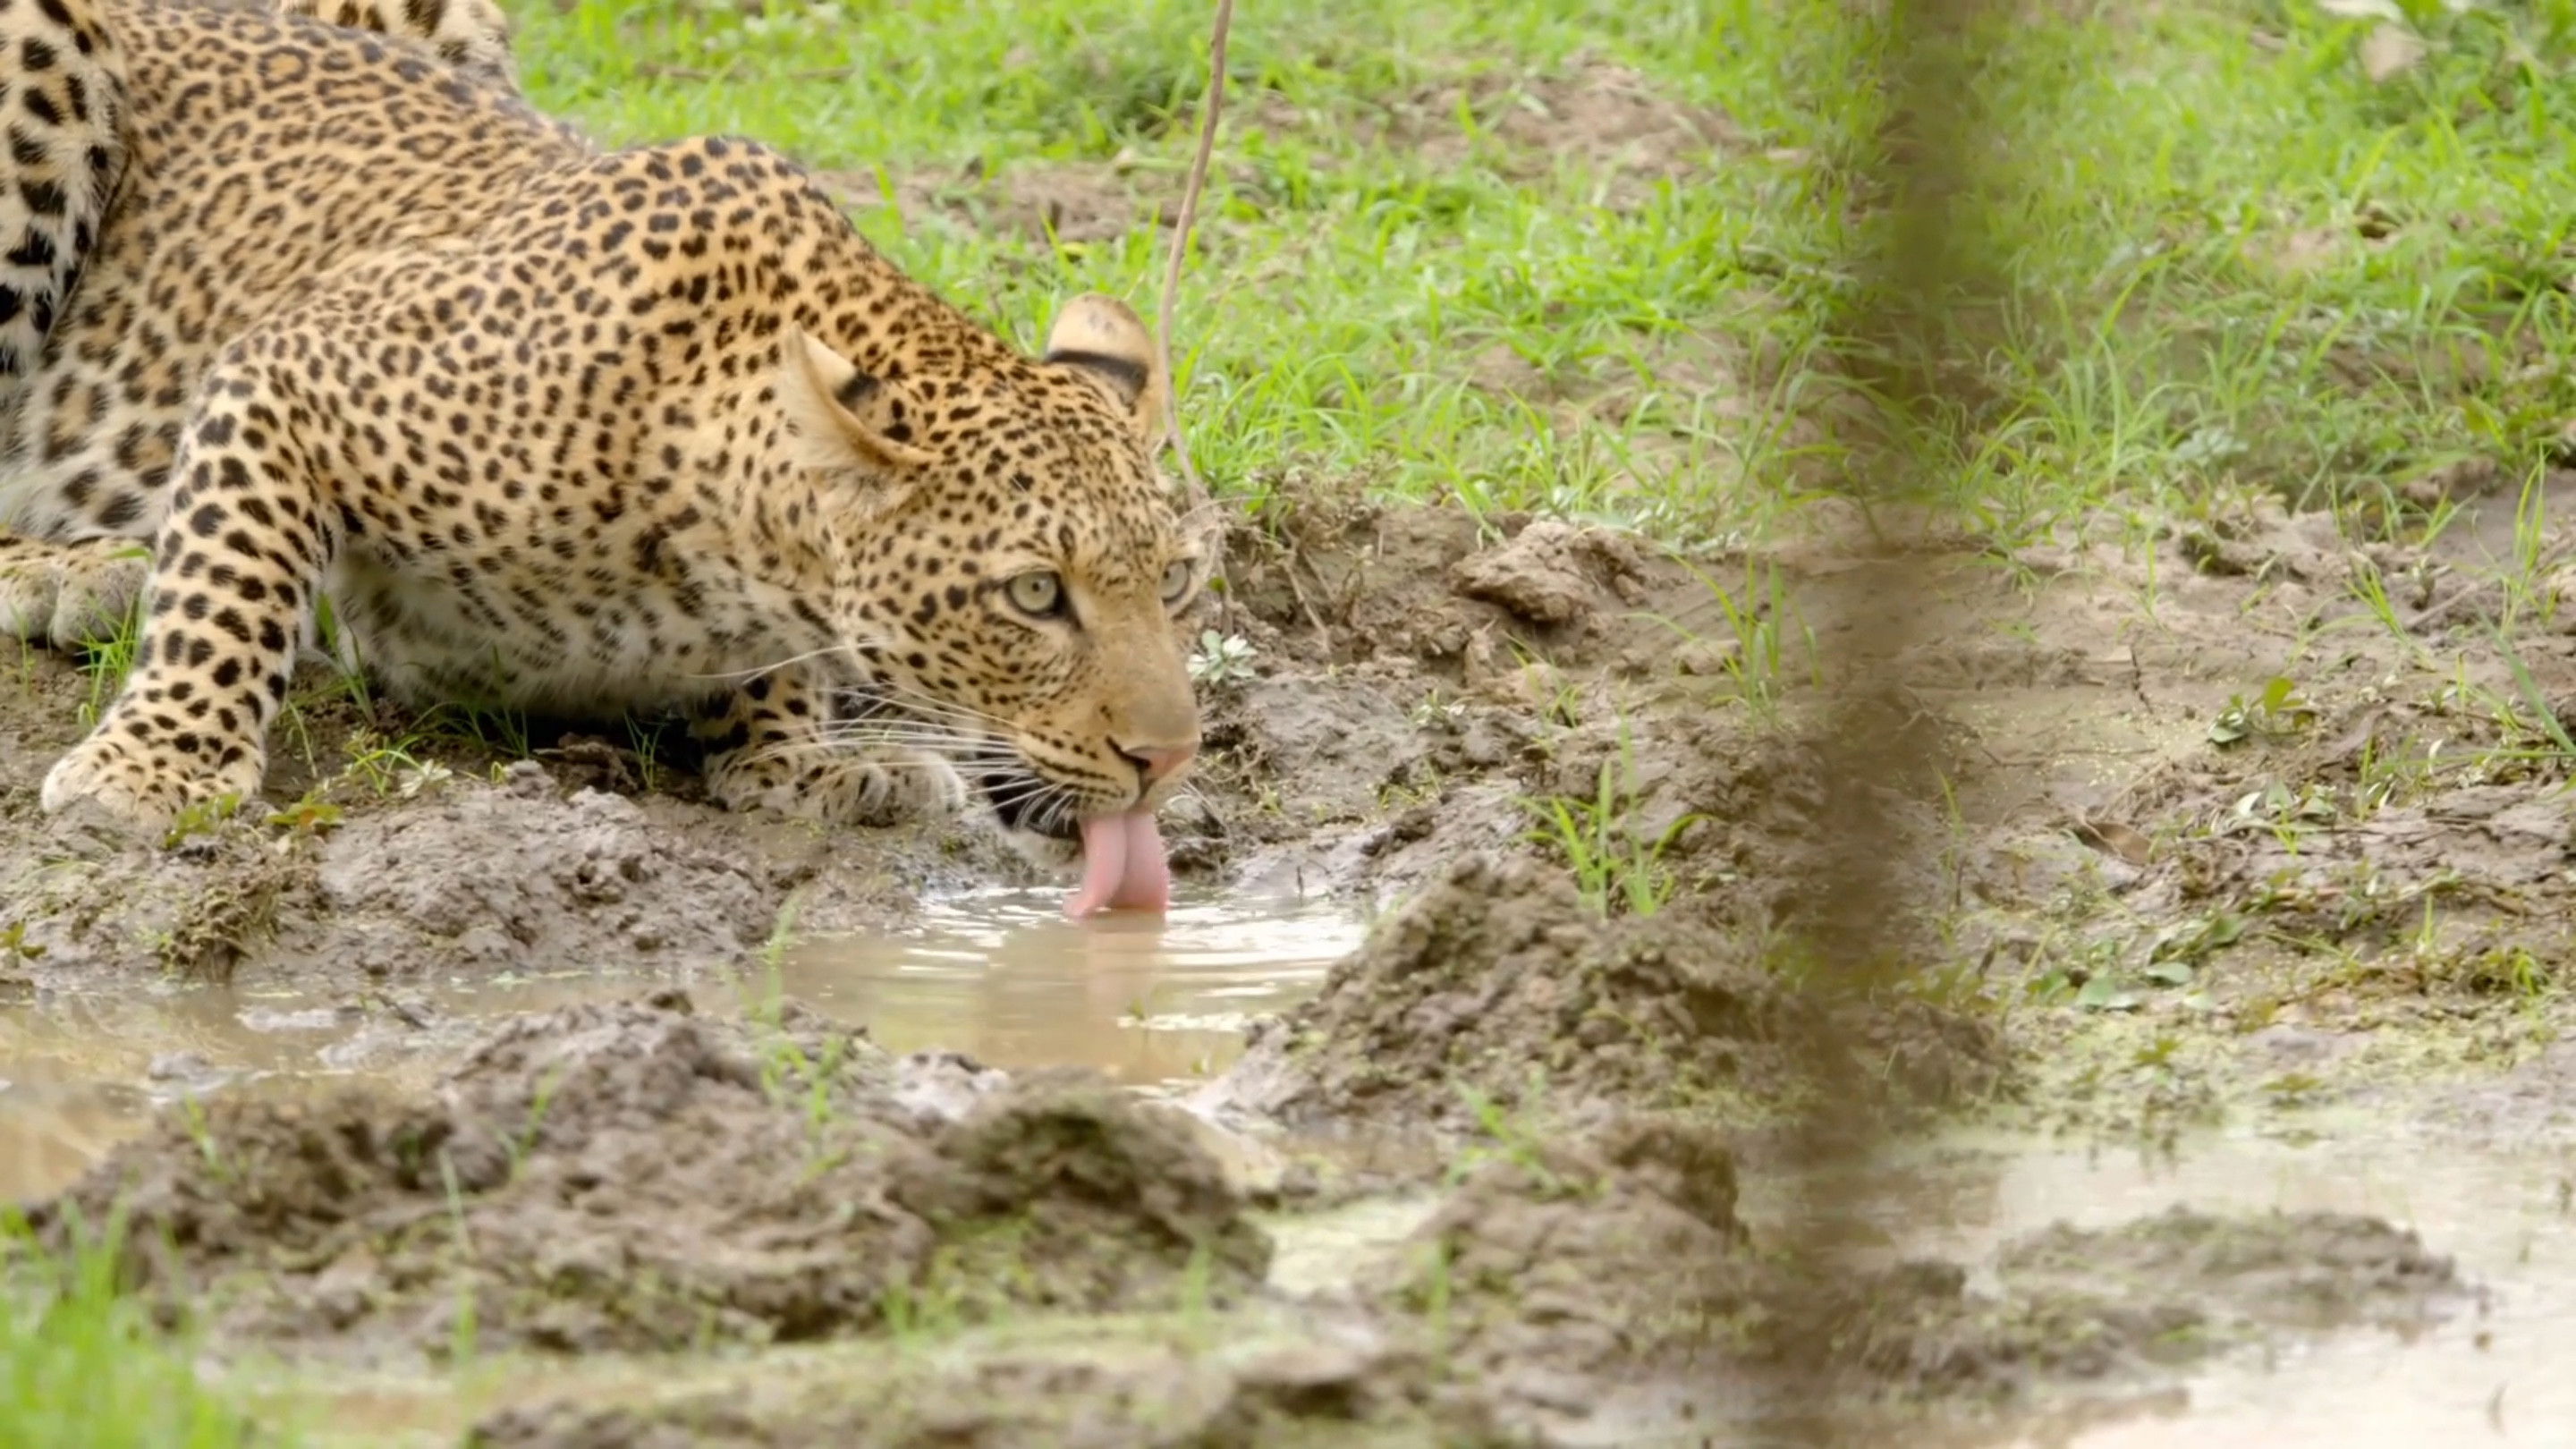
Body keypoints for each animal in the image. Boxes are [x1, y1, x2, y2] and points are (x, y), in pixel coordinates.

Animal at [0, 0, 1211, 914]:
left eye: (1177, 582)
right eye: (1034, 595)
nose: (1168, 762)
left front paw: (799, 761)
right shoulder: (288, 366)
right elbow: (227, 591)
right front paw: (159, 764)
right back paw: (75, 572)